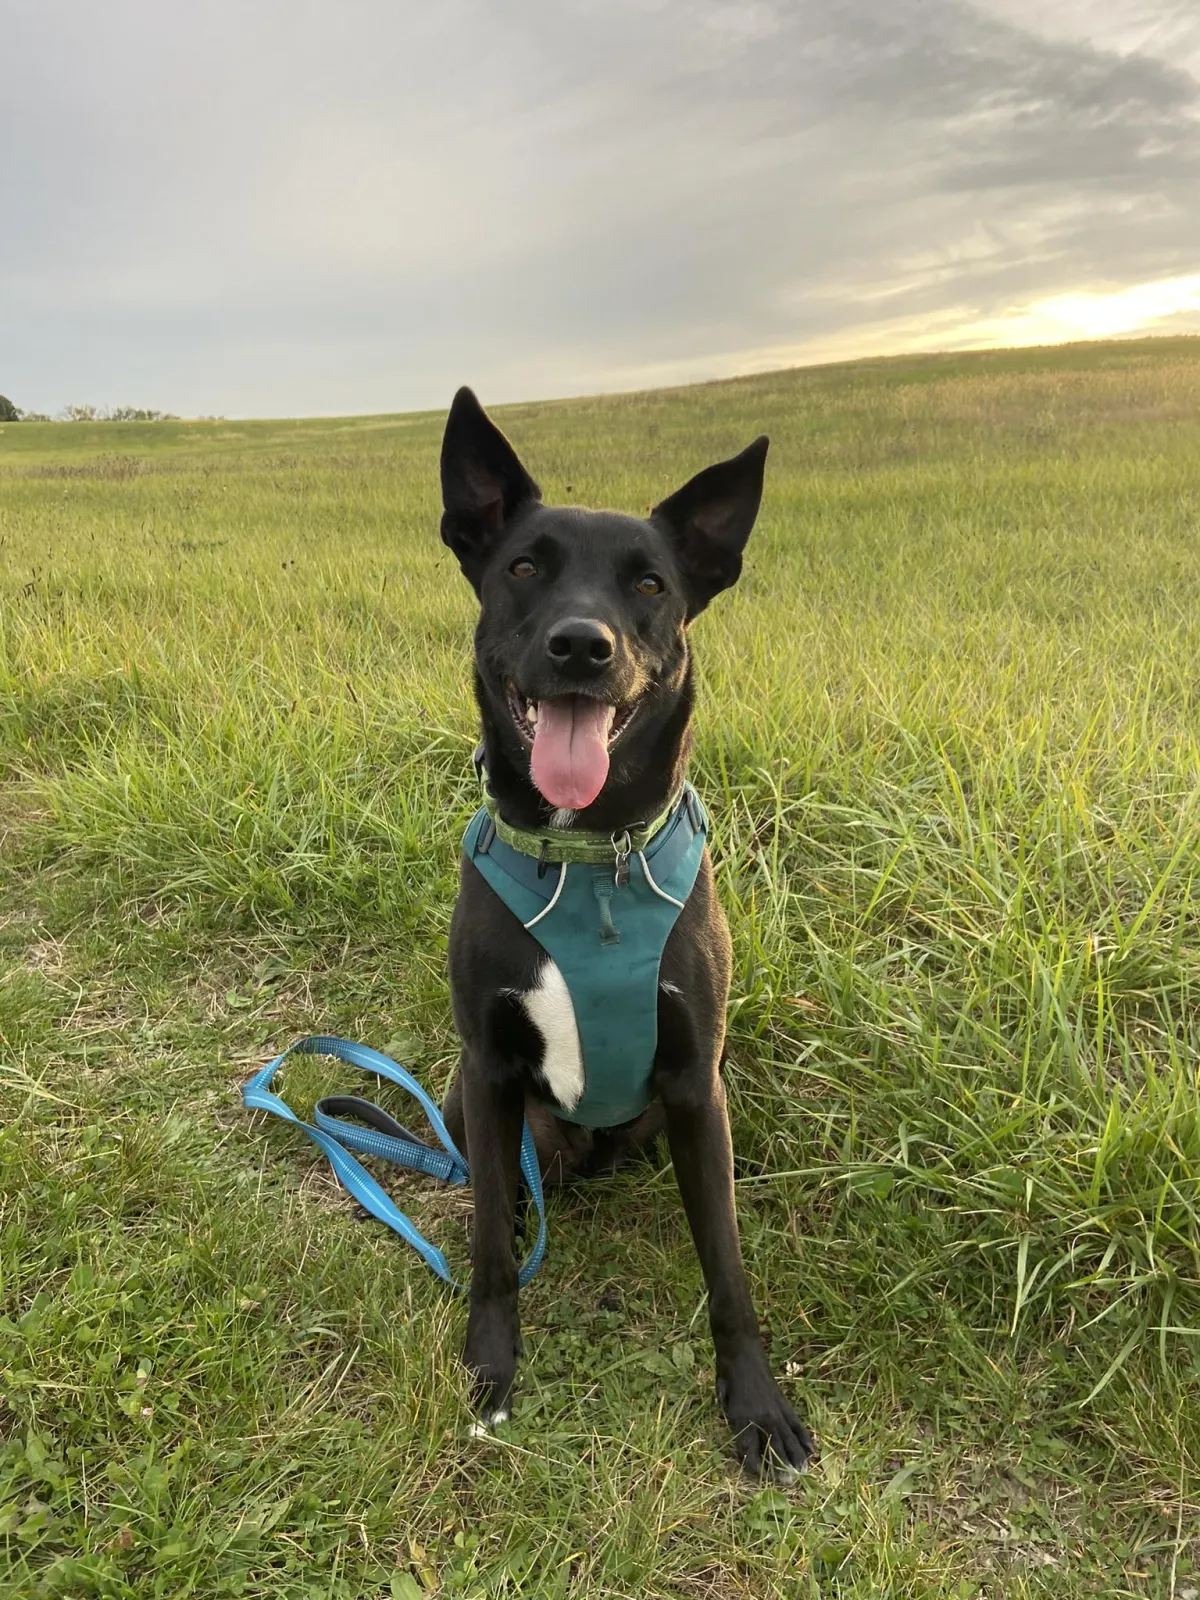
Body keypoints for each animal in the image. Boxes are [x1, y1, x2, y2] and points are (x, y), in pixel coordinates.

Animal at [438, 390, 812, 1472]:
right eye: (524, 566)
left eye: (649, 584)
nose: (581, 646)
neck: (589, 859)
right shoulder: (487, 1067)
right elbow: (489, 1243)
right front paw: (490, 1366)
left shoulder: (696, 1081)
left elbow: (727, 1265)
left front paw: (756, 1405)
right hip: (471, 1098)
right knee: (508, 1185)